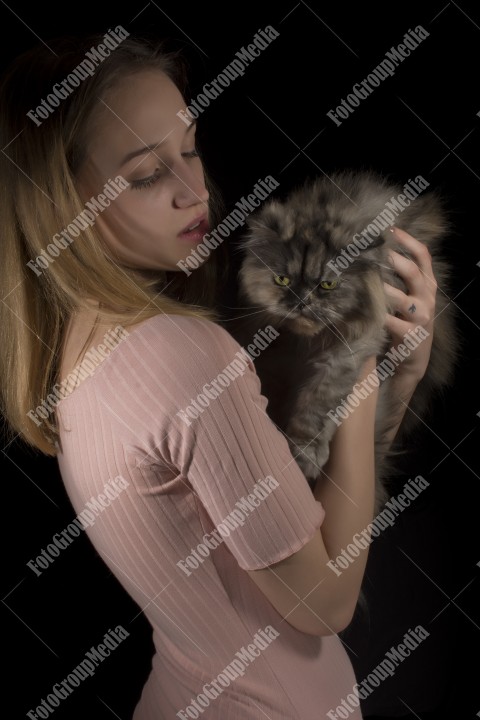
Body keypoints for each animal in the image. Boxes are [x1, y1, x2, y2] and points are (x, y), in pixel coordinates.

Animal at [225, 169, 458, 512]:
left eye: (328, 284)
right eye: (282, 279)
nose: (302, 301)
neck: (305, 342)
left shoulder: (351, 349)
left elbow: (319, 402)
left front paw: (305, 454)